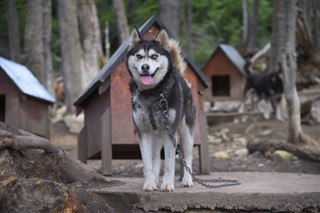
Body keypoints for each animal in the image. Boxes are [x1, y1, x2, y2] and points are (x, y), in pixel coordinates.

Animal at [126, 27, 194, 192]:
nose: (145, 67)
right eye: (139, 56)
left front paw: (168, 183)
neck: (152, 93)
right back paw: (156, 179)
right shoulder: (143, 132)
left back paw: (187, 180)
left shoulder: (170, 132)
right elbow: (147, 163)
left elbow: (169, 162)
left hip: (186, 133)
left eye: (154, 56)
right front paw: (150, 183)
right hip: (156, 135)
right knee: (155, 157)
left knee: (188, 156)